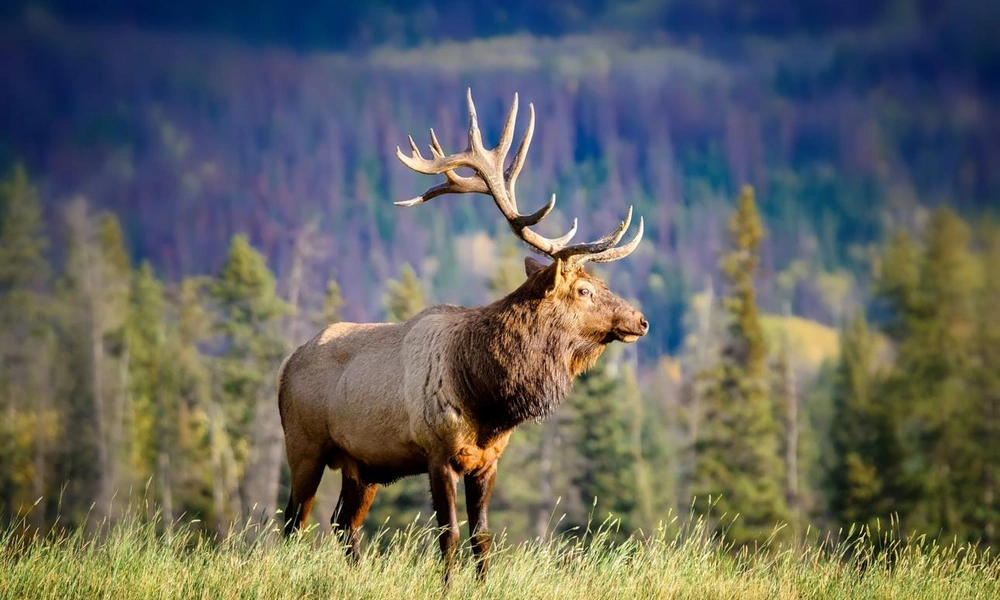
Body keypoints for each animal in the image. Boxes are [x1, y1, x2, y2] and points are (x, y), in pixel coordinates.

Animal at [278, 89, 648, 581]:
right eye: (585, 290)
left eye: (602, 283)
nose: (641, 320)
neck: (485, 396)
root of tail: (285, 367)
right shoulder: (436, 452)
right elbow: (448, 534)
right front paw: (448, 585)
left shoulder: (487, 460)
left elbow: (482, 536)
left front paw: (484, 582)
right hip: (303, 444)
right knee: (292, 521)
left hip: (363, 465)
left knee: (343, 523)